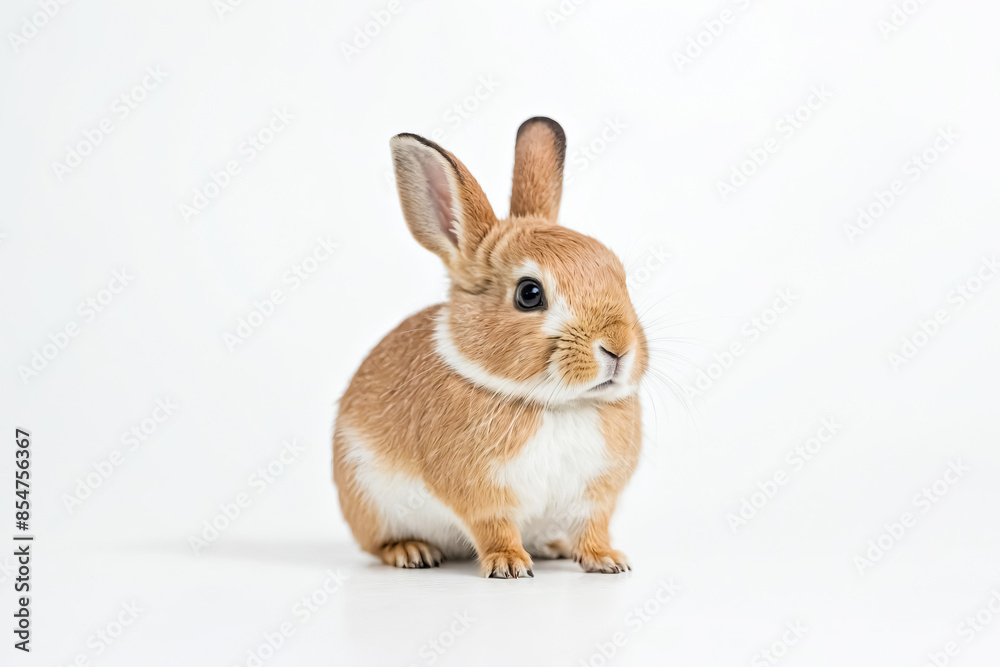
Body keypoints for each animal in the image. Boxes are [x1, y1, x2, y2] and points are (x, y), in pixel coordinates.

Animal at [332, 117, 647, 578]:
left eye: (619, 275)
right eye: (529, 294)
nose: (618, 349)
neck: (557, 404)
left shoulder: (596, 497)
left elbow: (593, 528)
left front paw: (607, 560)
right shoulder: (480, 492)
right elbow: (493, 526)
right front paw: (510, 565)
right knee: (378, 543)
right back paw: (412, 552)